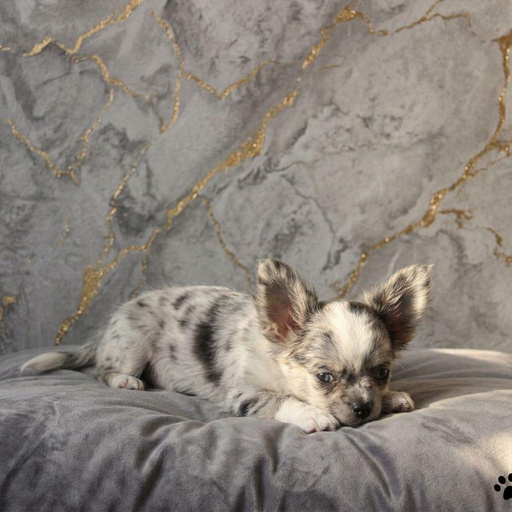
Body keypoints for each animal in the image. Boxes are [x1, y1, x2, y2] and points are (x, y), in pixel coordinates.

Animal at [22, 259, 432, 433]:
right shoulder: (245, 393)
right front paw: (311, 414)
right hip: (132, 344)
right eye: (324, 377)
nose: (364, 409)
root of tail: (108, 326)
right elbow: (281, 401)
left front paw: (392, 398)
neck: (276, 359)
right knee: (103, 370)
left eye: (383, 373)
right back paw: (126, 380)